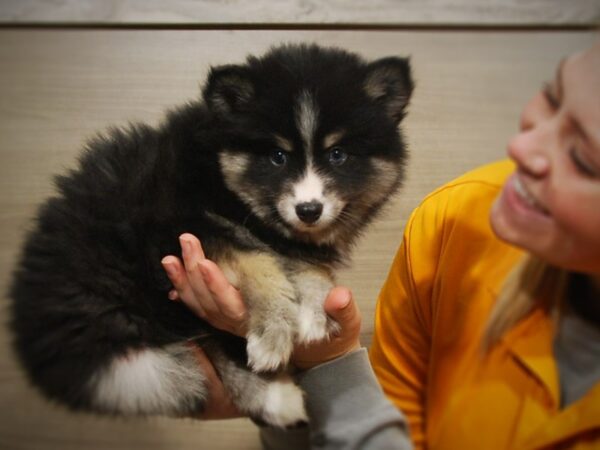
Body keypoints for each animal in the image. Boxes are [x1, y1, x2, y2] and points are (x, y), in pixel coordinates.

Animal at [9, 44, 412, 428]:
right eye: (277, 156)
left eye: (338, 154)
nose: (308, 210)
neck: (218, 177)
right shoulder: (181, 229)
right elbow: (260, 262)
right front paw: (273, 333)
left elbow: (307, 267)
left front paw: (314, 310)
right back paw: (275, 398)